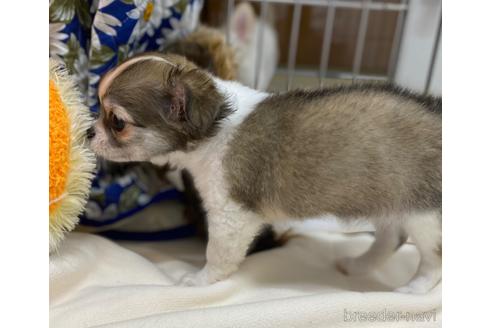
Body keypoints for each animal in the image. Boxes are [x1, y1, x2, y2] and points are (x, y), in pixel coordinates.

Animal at [89, 53, 442, 294]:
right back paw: (358, 265)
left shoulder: (230, 215)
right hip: (390, 199)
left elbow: (218, 254)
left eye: (117, 122)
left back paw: (414, 288)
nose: (88, 132)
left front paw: (201, 280)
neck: (216, 128)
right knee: (391, 237)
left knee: (432, 257)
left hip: (424, 214)